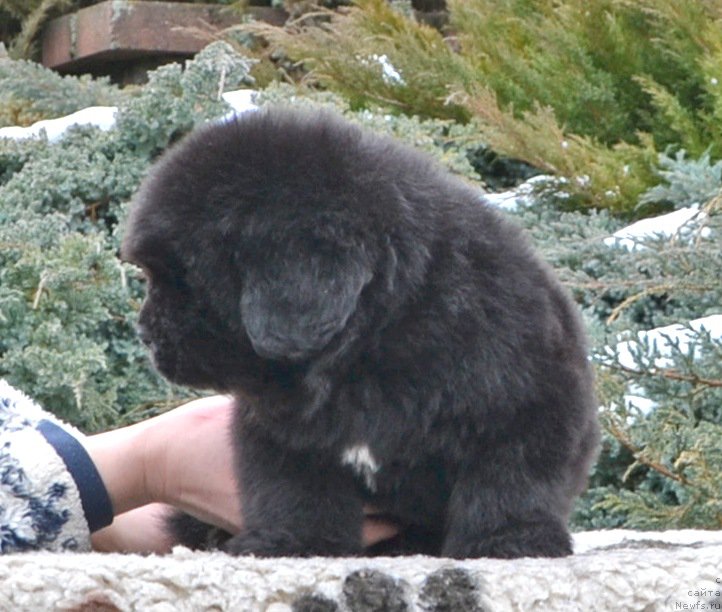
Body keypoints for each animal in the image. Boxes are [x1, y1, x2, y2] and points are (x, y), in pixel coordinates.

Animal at [122, 106, 596, 560]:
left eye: (183, 280)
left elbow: (510, 480)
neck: (369, 350)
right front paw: (298, 542)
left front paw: (507, 542)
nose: (145, 334)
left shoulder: (527, 403)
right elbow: (295, 490)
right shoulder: (285, 433)